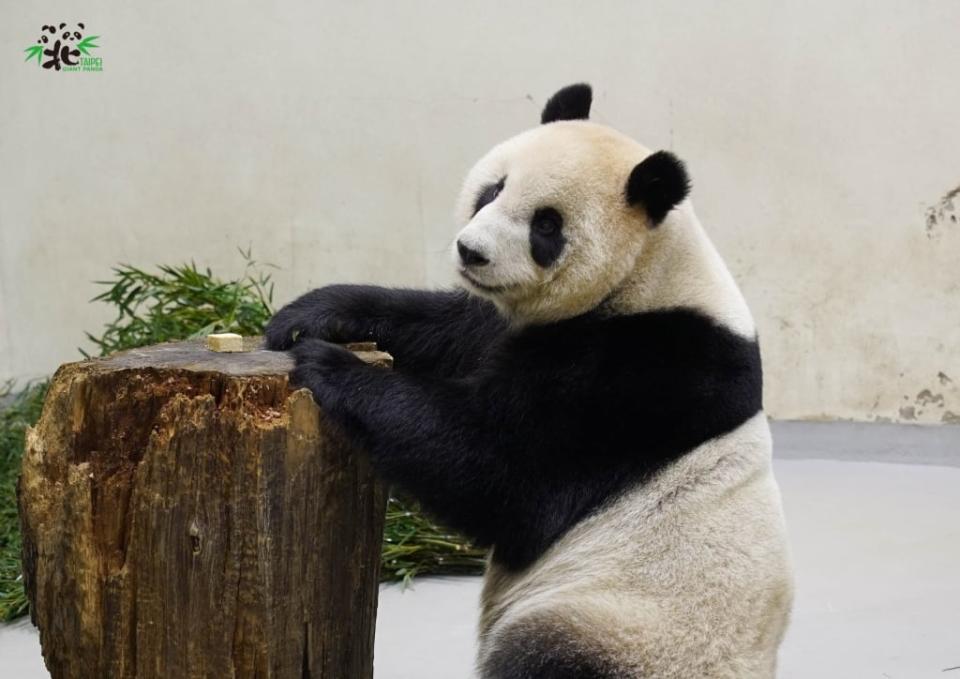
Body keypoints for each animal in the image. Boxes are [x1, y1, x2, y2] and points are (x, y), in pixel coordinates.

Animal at [266, 82, 792, 676]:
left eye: (547, 225)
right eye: (493, 189)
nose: (471, 251)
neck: (647, 274)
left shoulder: (646, 376)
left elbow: (501, 472)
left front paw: (327, 364)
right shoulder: (515, 323)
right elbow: (450, 331)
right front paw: (309, 316)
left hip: (627, 627)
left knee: (542, 653)